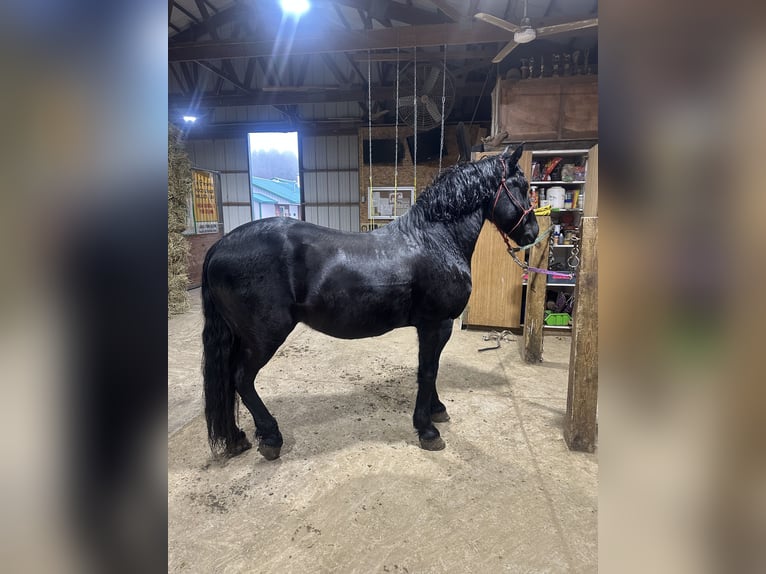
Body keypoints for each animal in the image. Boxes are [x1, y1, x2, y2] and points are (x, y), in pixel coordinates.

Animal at [201, 144, 538, 460]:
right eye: (522, 185)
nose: (533, 233)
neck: (436, 239)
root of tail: (220, 246)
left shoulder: (431, 327)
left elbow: (432, 367)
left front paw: (437, 409)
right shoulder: (436, 324)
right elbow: (427, 371)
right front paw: (427, 429)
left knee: (230, 381)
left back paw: (238, 438)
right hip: (265, 336)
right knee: (242, 379)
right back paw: (271, 437)